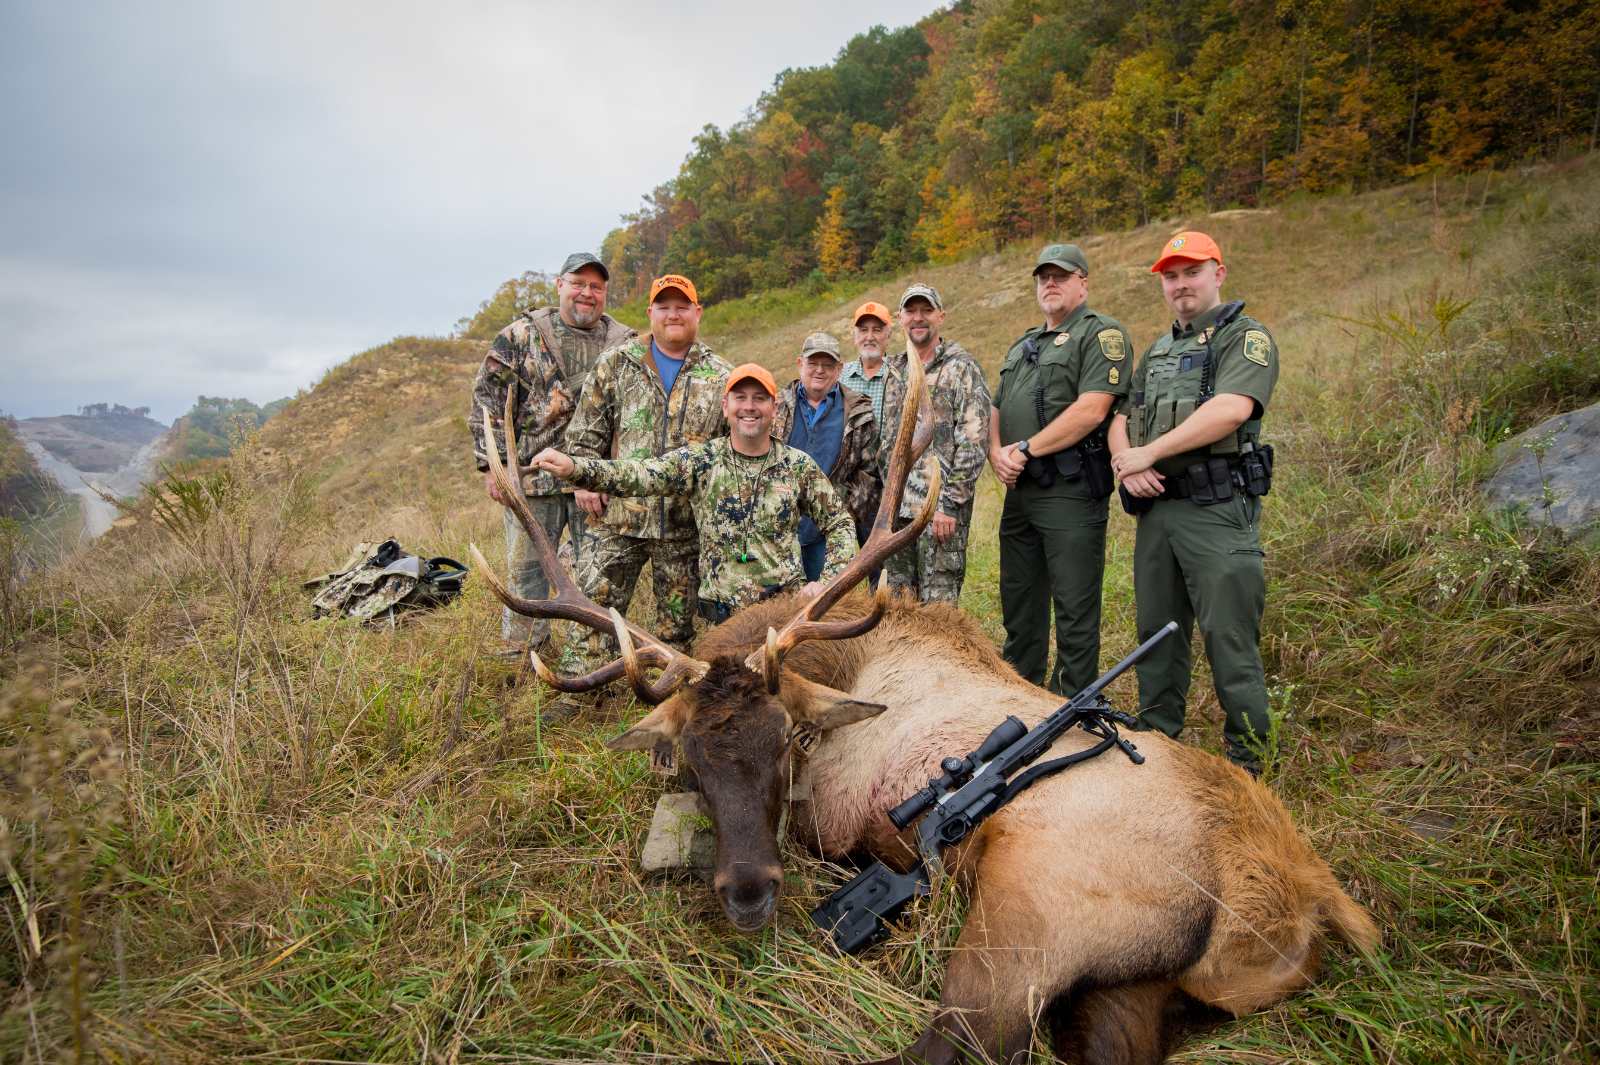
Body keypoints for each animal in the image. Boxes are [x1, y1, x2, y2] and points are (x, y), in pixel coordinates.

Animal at [470, 358, 1376, 1061]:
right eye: (690, 757)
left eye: (787, 740)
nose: (750, 893)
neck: (840, 661)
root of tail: (1295, 905)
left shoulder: (843, 824)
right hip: (1136, 984)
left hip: (1035, 904)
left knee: (958, 1039)